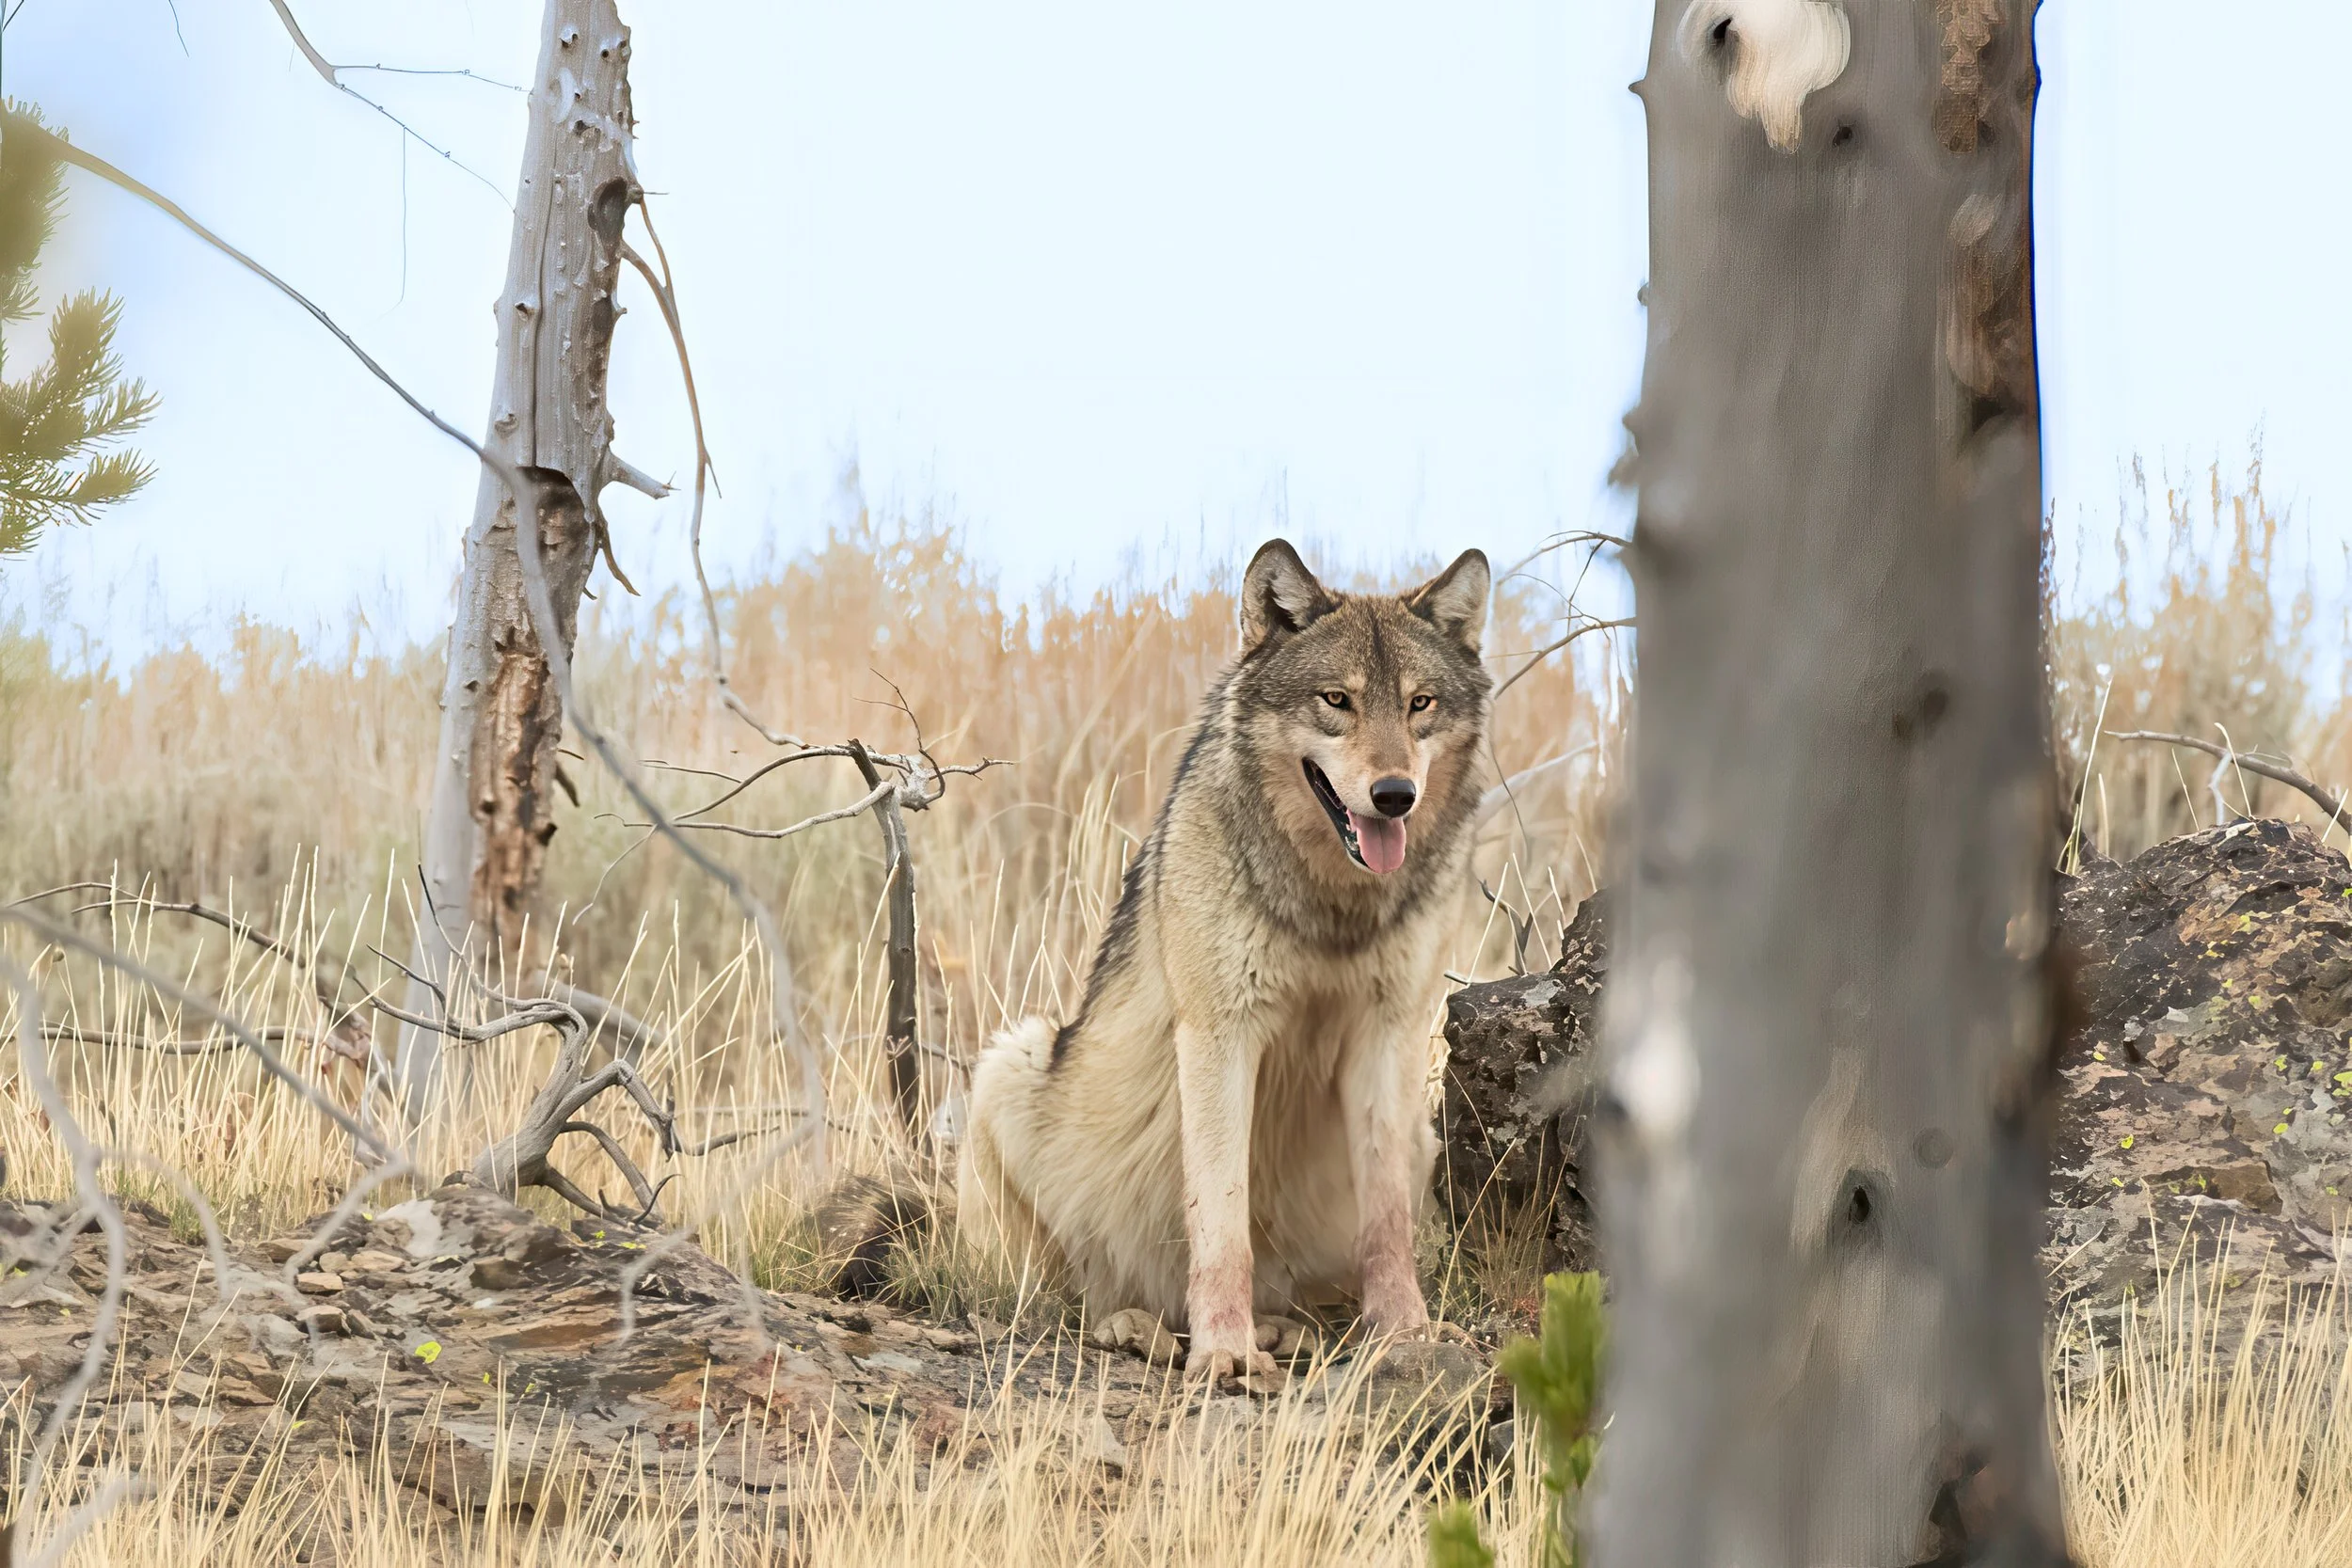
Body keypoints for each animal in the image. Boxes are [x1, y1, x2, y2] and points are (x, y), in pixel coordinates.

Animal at [957, 538, 1492, 1381]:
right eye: (1336, 700)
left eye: (1420, 703)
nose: (1394, 794)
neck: (1330, 908)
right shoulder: (1220, 1034)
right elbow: (1221, 1221)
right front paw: (1222, 1352)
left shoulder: (1390, 1035)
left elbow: (1387, 1229)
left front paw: (1407, 1336)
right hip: (1013, 1063)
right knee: (1071, 1298)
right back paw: (1139, 1327)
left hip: (1421, 1138)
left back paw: (1286, 1330)